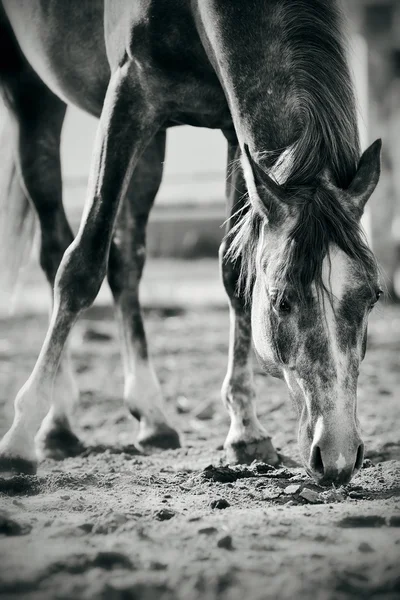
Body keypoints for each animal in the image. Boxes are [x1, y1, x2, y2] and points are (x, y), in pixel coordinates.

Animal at [0, 1, 382, 488]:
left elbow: (235, 273)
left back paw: (152, 417)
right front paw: (18, 437)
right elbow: (81, 267)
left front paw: (245, 430)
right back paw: (58, 423)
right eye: (282, 301)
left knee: (127, 261)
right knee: (56, 251)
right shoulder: (128, 93)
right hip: (32, 96)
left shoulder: (234, 131)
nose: (338, 456)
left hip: (152, 145)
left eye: (374, 297)